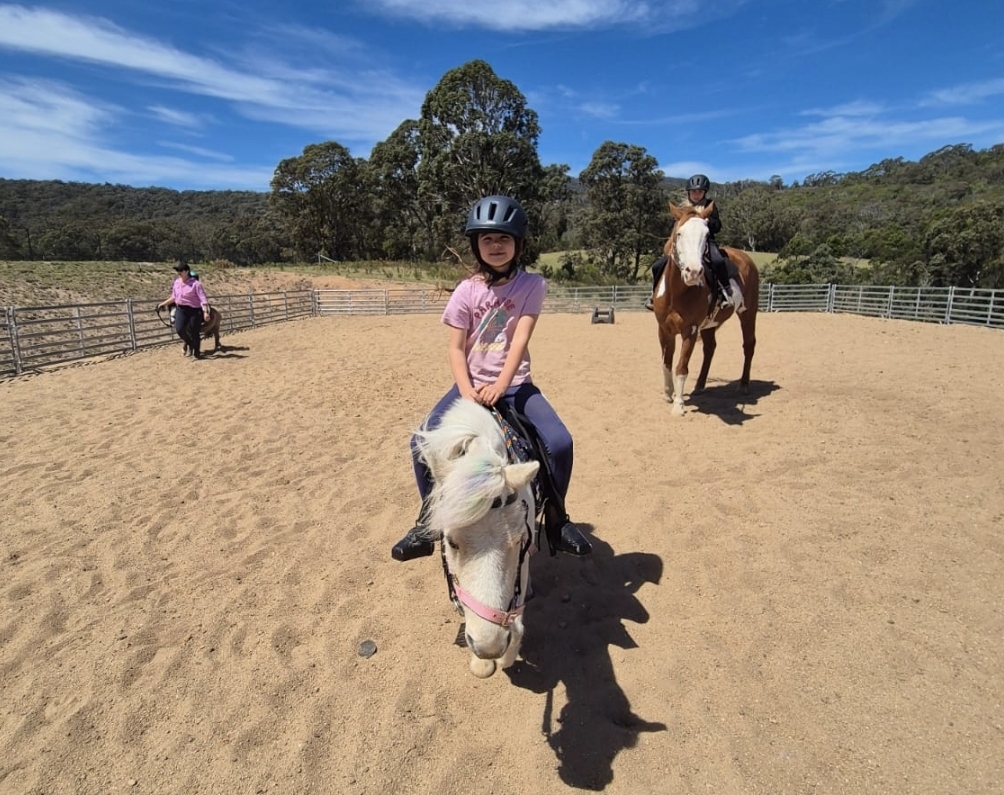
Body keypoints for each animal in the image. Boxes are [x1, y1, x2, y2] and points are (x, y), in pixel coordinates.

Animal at [413, 397, 540, 679]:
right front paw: (481, 663)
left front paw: (506, 656)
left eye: (519, 541)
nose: (489, 647)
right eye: (451, 542)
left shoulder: (524, 554)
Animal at [653, 203, 759, 415]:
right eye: (679, 233)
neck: (676, 293)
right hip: (710, 325)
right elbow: (666, 362)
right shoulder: (664, 329)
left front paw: (679, 405)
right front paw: (668, 394)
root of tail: (746, 258)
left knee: (749, 345)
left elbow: (681, 367)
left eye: (706, 234)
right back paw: (700, 386)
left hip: (748, 313)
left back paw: (744, 385)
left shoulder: (691, 331)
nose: (693, 272)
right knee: (710, 348)